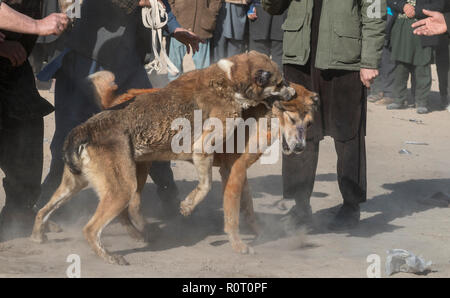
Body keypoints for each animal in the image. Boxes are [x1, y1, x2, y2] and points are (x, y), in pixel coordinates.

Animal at [30, 51, 296, 266]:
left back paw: (39, 235)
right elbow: (206, 185)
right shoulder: (202, 148)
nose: (294, 91)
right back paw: (111, 256)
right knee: (91, 229)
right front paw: (188, 206)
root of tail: (84, 129)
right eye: (280, 82)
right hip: (122, 188)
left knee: (43, 210)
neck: (230, 79)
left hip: (74, 185)